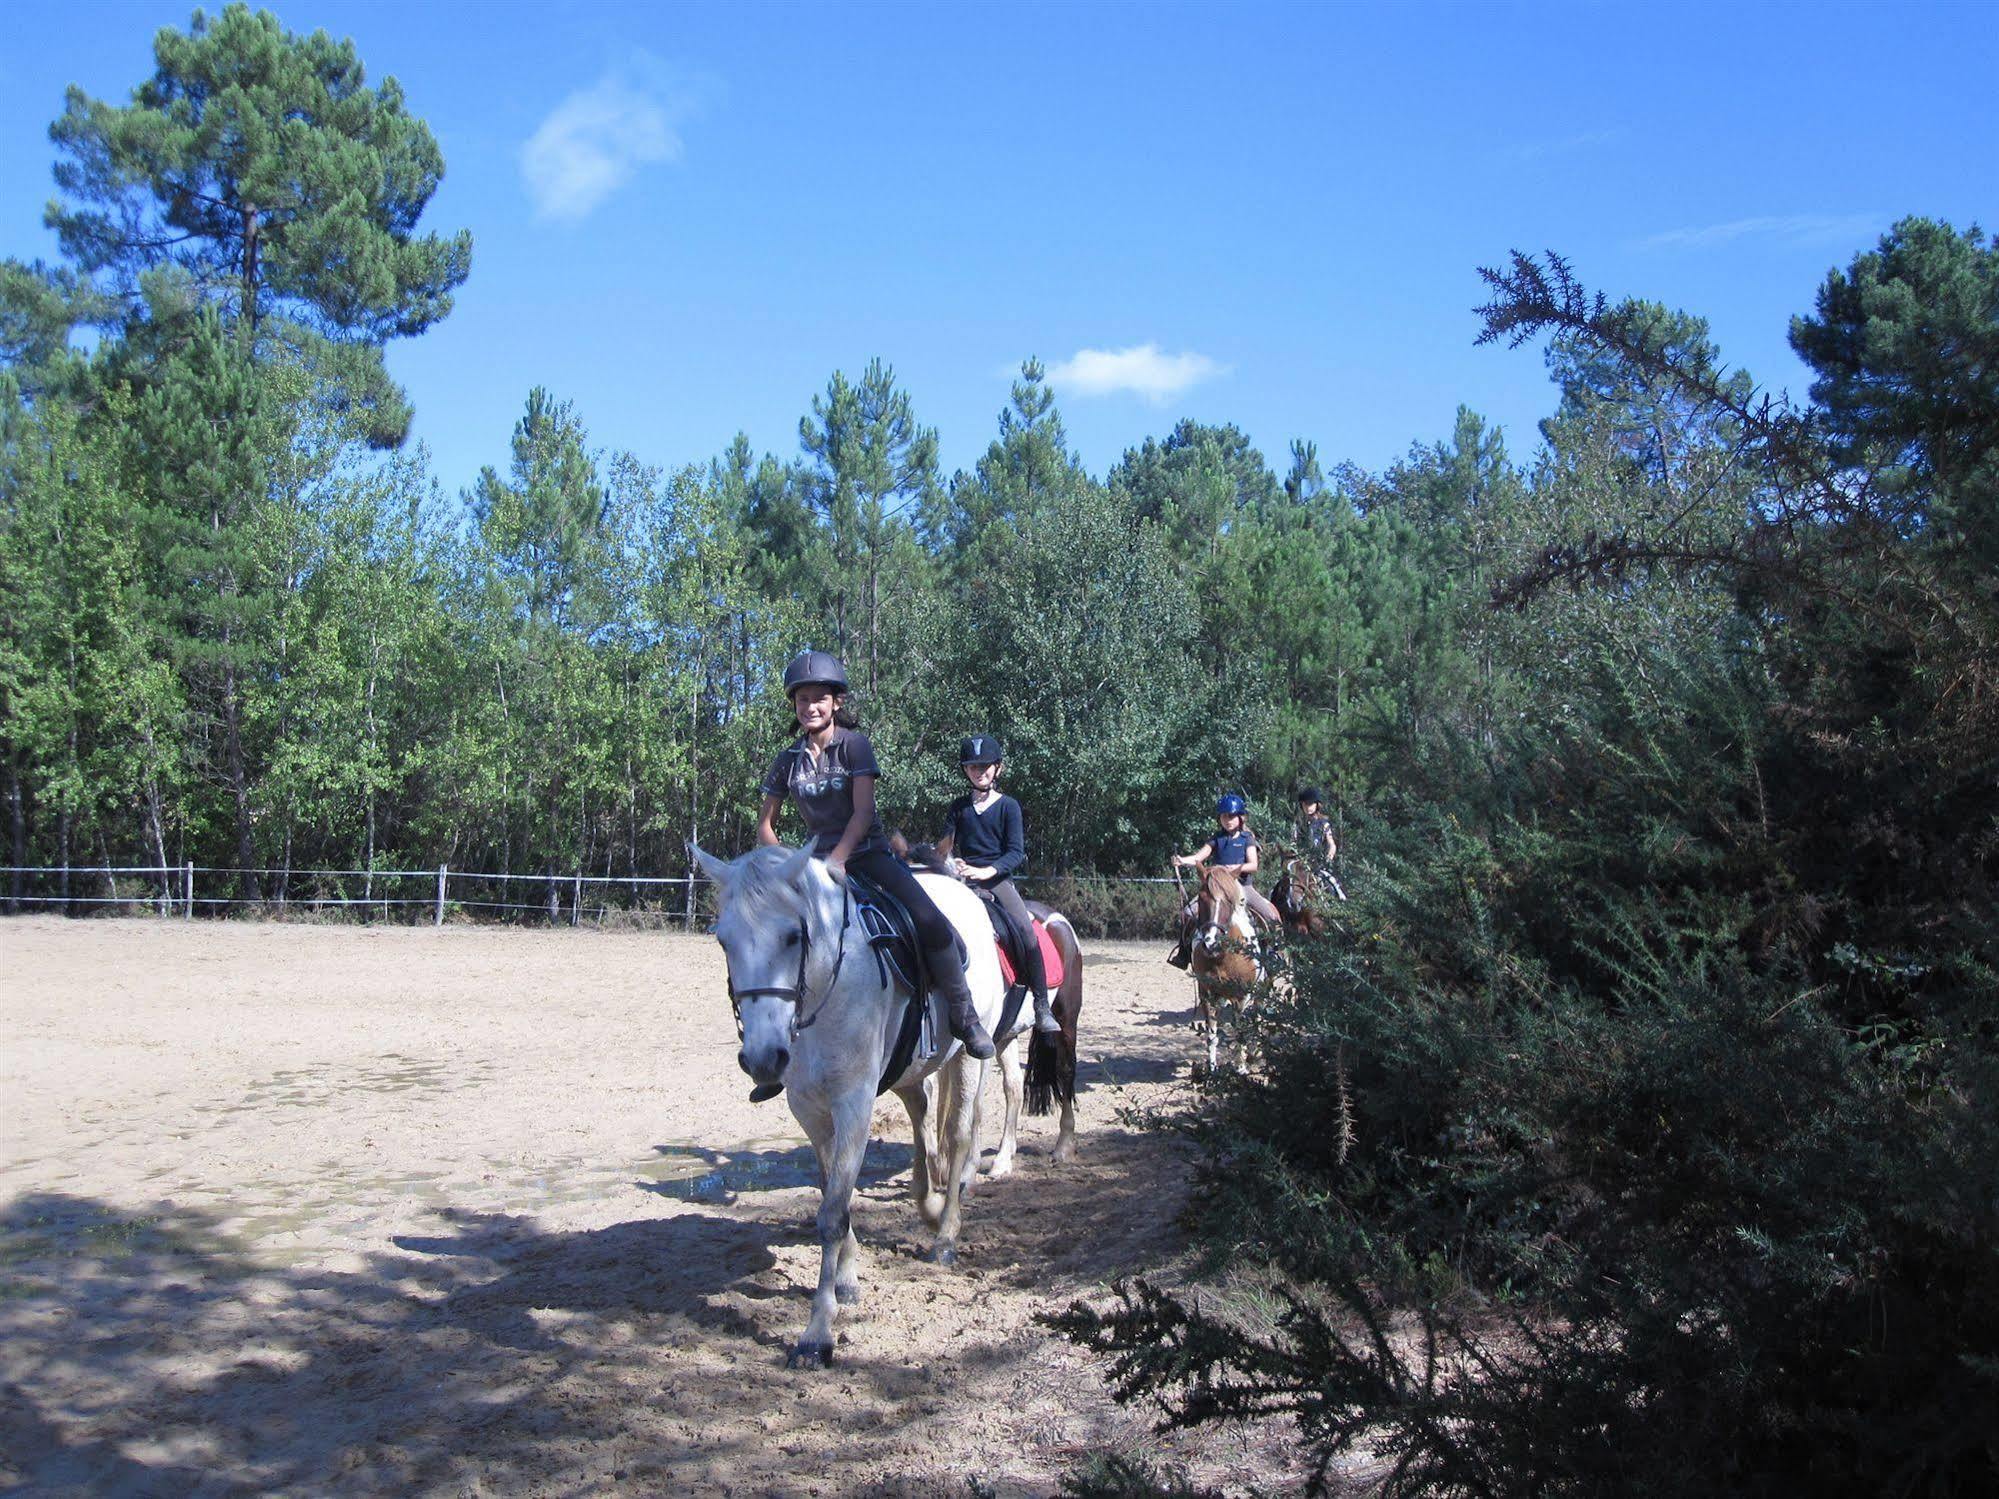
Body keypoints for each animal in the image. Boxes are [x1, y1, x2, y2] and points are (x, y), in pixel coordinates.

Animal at [691, 847, 1007, 1375]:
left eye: (792, 935)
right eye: (722, 940)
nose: (762, 1058)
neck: (824, 986)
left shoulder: (854, 1103)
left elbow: (833, 1213)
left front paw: (817, 1333)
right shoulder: (808, 1108)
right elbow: (830, 1194)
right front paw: (847, 1280)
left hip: (966, 1057)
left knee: (959, 1135)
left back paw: (945, 1237)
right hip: (913, 1069)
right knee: (922, 1119)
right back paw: (928, 1204)